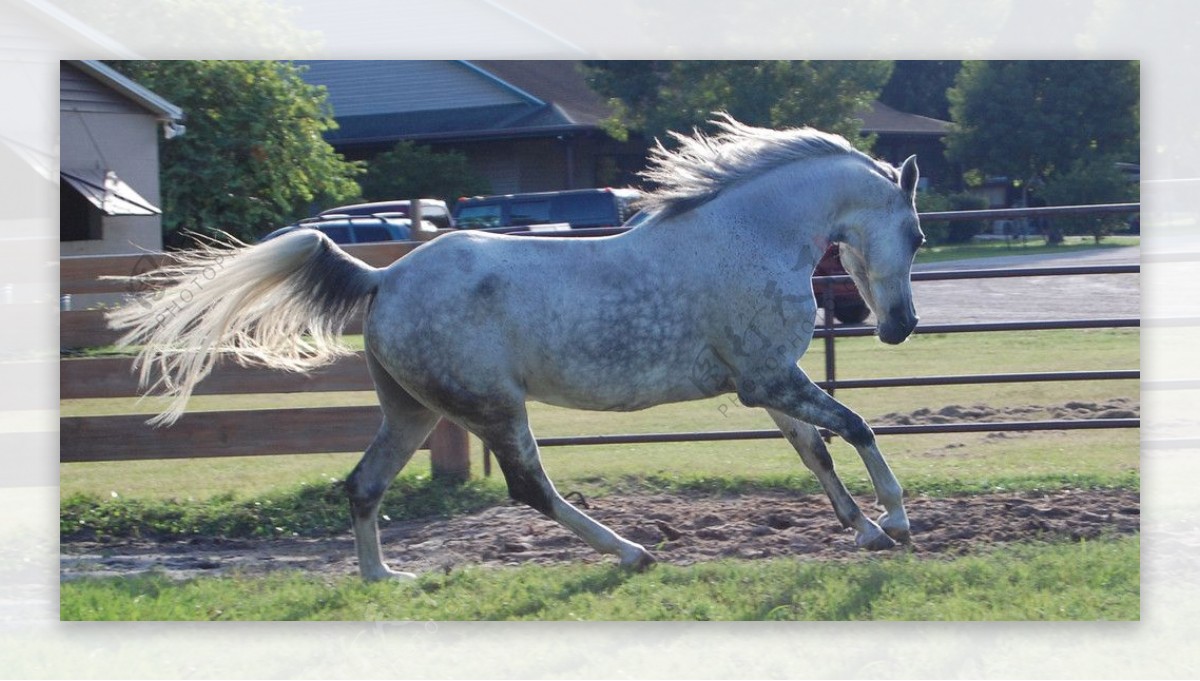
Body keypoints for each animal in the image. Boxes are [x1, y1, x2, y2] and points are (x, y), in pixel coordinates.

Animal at [110, 115, 916, 580]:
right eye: (915, 233)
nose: (901, 327)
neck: (749, 234)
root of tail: (384, 278)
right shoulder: (768, 379)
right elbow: (856, 427)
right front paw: (898, 522)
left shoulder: (766, 379)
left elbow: (814, 450)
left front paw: (865, 532)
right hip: (494, 407)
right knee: (530, 487)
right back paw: (632, 552)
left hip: (412, 411)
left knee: (363, 485)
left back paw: (386, 579)